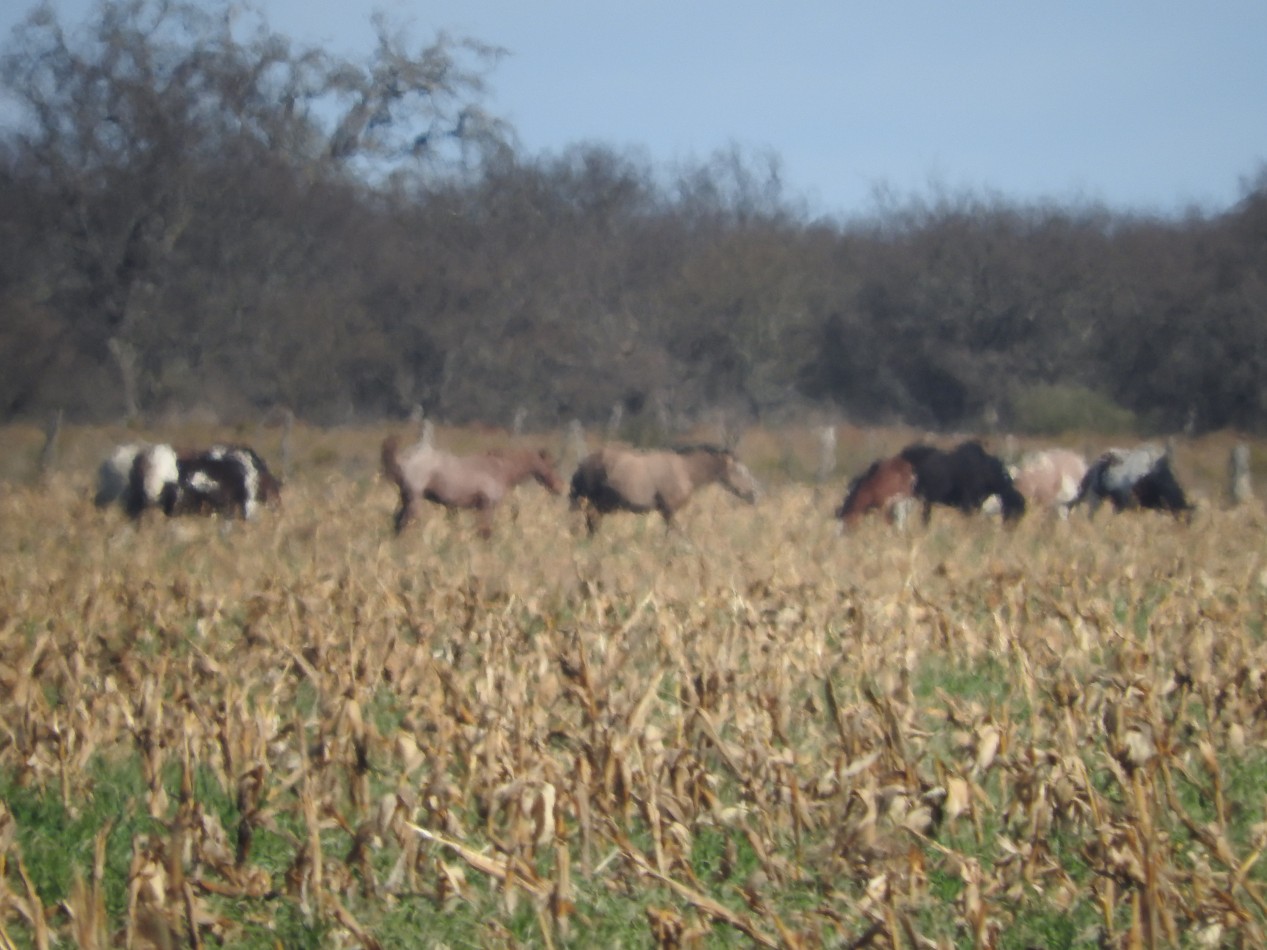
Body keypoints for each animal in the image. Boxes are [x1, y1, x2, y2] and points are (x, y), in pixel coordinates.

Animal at [377, 438, 567, 539]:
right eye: (552, 465)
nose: (560, 487)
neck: (499, 468)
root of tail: (403, 459)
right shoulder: (487, 505)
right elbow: (485, 532)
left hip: (406, 499)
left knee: (398, 523)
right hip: (414, 500)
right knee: (406, 524)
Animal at [570, 445, 755, 537]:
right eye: (740, 471)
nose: (754, 494)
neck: (685, 469)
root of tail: (580, 466)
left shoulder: (666, 513)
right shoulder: (669, 511)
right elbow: (675, 534)